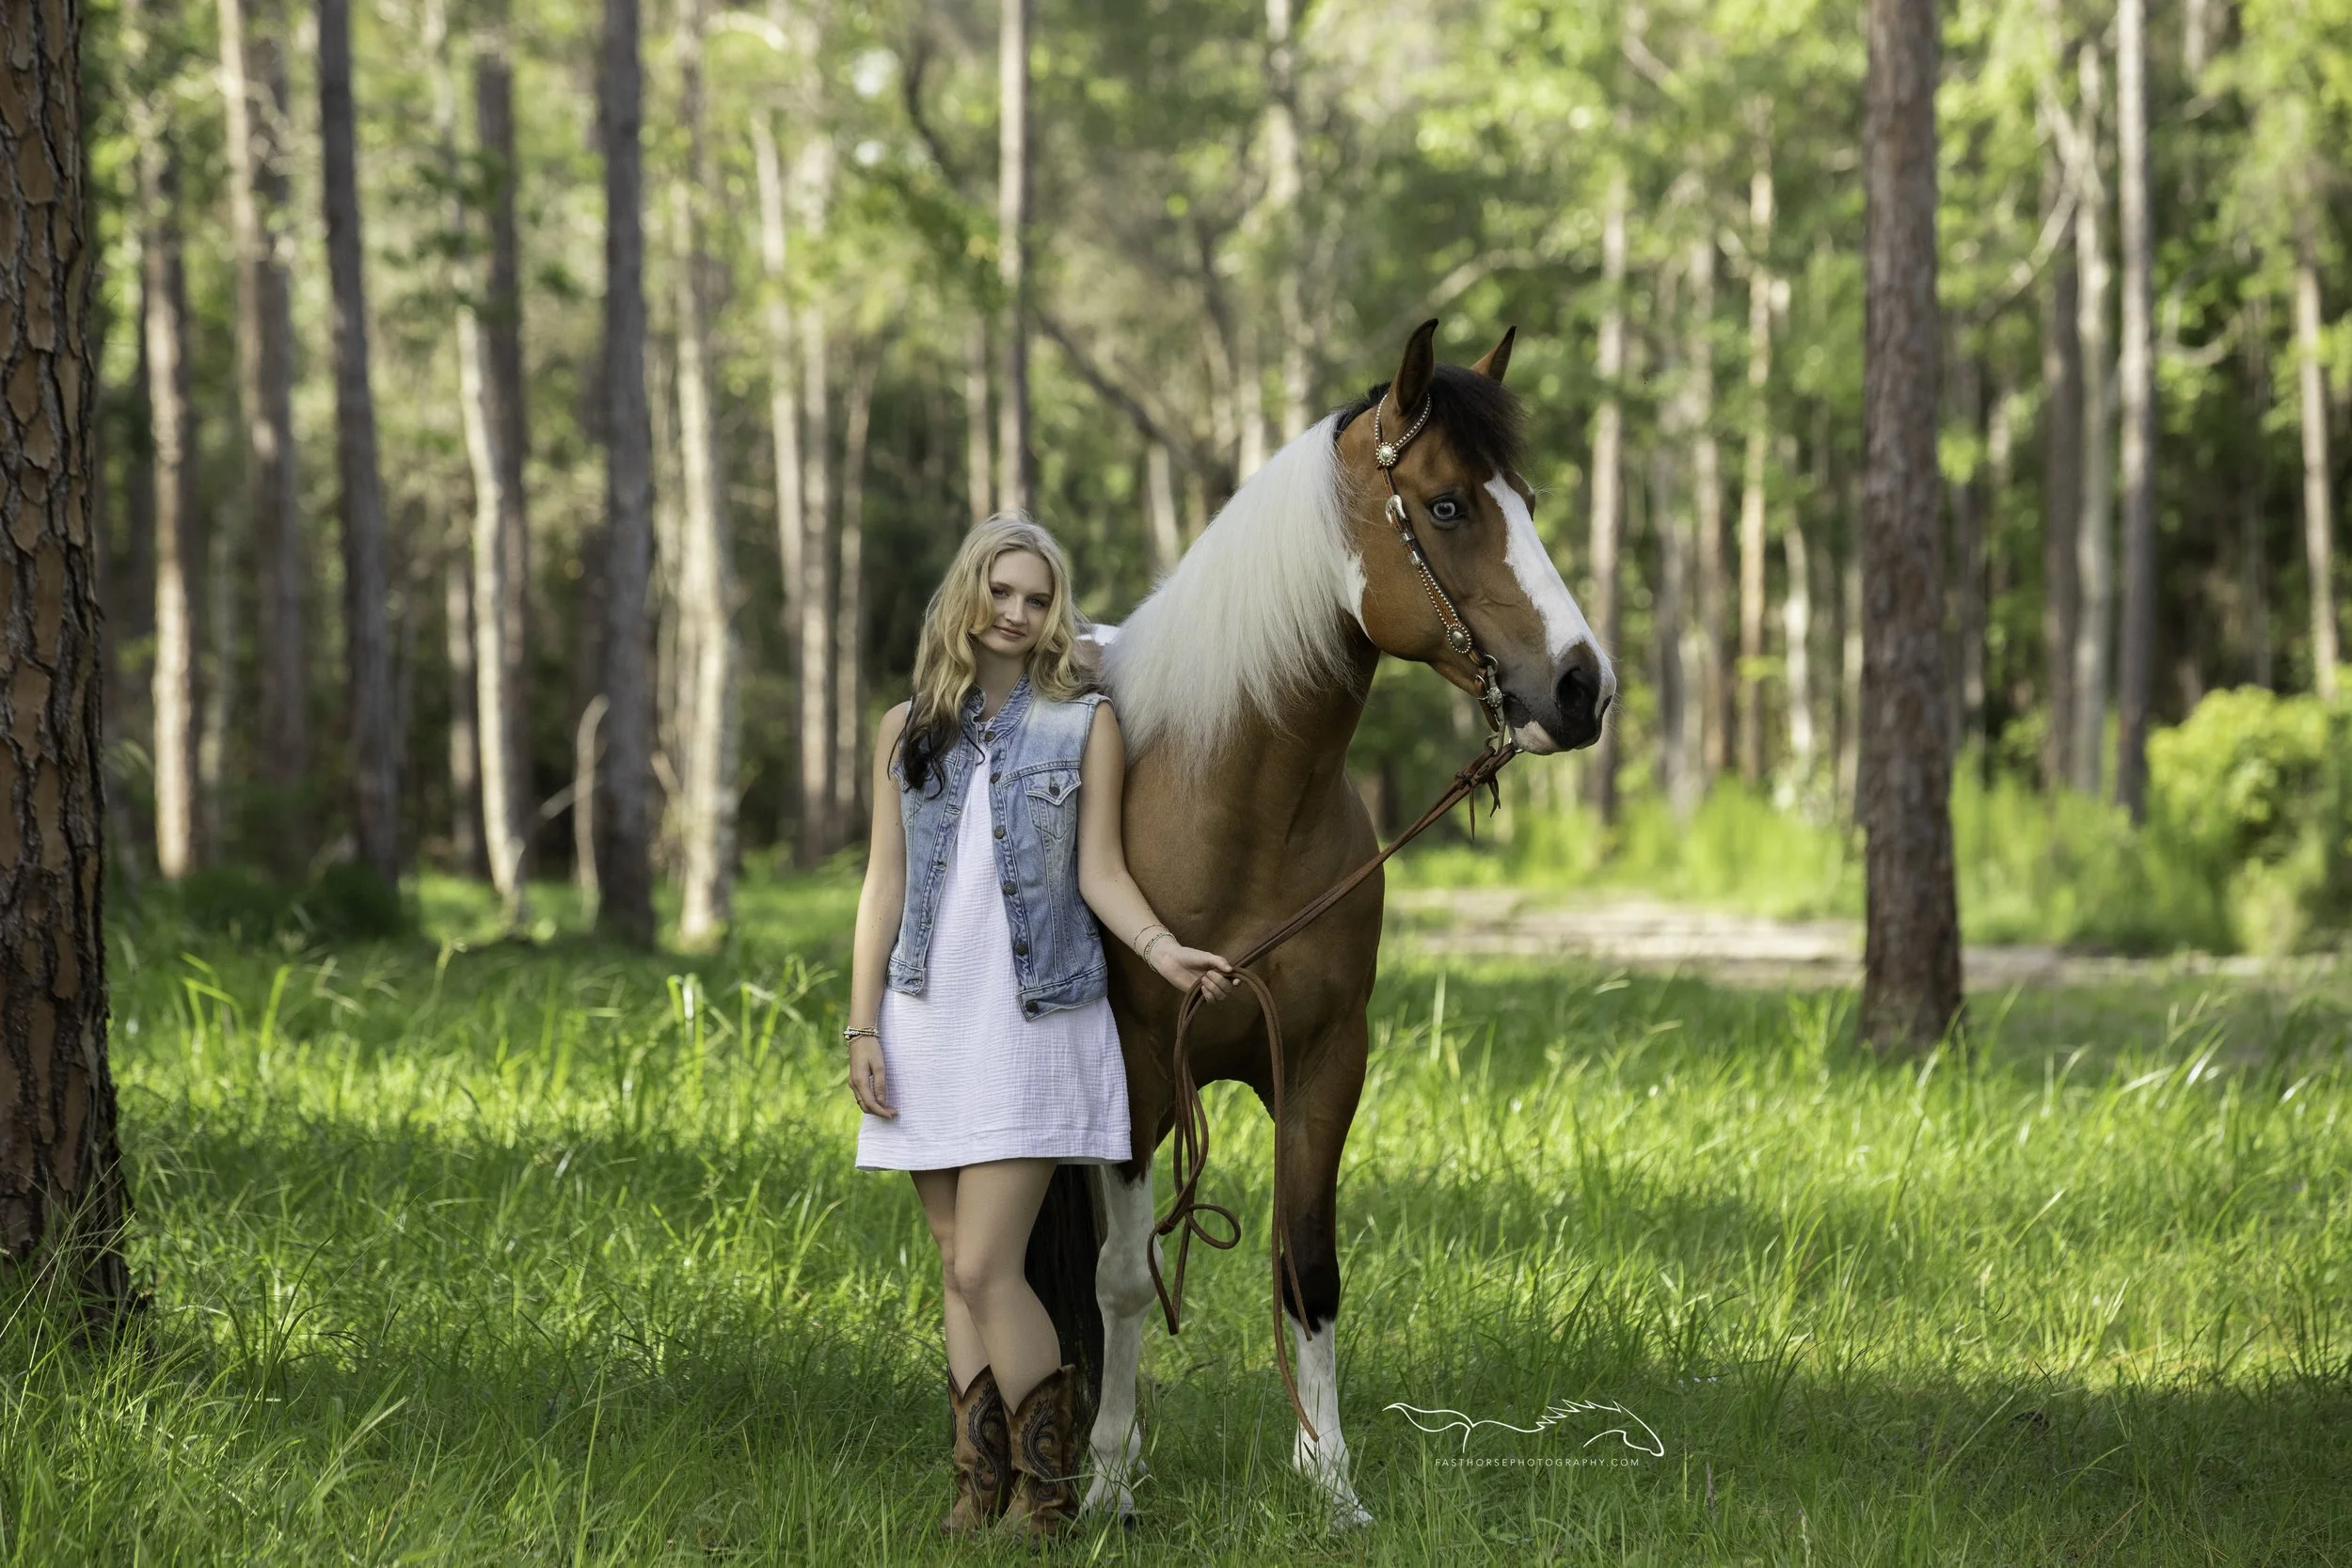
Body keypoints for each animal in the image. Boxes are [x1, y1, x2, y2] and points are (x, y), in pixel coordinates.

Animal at [1031, 319, 1615, 1529]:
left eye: (1530, 499)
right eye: (1448, 504)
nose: (1583, 688)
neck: (1230, 810)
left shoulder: (1323, 1062)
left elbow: (1307, 1265)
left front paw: (1329, 1478)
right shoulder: (1137, 1071)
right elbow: (1123, 1274)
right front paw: (1108, 1477)